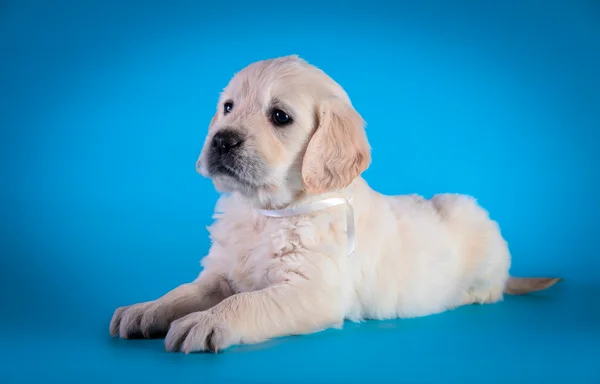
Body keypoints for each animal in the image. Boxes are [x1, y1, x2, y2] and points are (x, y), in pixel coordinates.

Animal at [109, 55, 564, 352]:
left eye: (279, 116)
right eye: (227, 107)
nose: (221, 140)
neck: (268, 213)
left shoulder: (314, 291)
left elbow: (248, 300)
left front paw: (206, 320)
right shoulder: (220, 274)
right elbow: (185, 290)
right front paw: (147, 309)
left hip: (475, 225)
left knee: (492, 289)